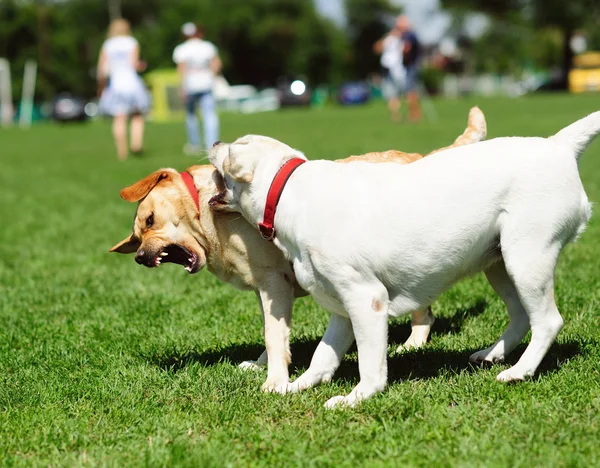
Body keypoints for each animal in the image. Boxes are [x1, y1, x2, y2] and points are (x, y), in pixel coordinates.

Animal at [110, 106, 486, 392]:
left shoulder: (274, 282)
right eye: (137, 239)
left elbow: (273, 335)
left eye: (150, 220)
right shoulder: (267, 289)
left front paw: (275, 380)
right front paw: (263, 365)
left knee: (424, 309)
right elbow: (273, 331)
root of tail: (422, 155)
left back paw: (413, 342)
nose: (141, 257)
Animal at [209, 112, 596, 406]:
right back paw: (491, 355)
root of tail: (558, 145)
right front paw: (297, 386)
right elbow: (323, 356)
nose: (212, 143)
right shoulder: (340, 307)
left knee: (547, 321)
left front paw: (356, 398)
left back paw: (518, 372)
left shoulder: (367, 299)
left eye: (233, 145)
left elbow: (370, 362)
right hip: (499, 263)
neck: (288, 190)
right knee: (520, 316)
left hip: (527, 258)